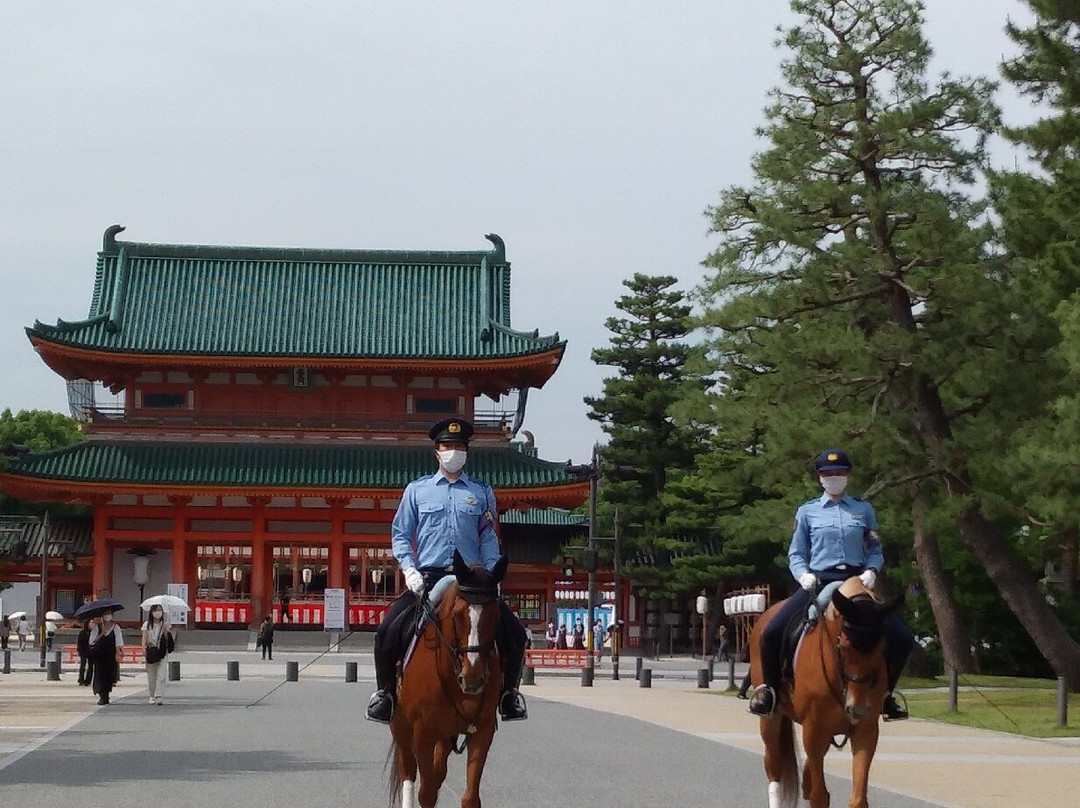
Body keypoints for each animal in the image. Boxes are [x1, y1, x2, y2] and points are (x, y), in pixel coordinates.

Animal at [388, 557, 505, 808]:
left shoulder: (482, 730)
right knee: (408, 772)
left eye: (495, 614)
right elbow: (427, 793)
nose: (473, 677)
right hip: (400, 726)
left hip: (445, 734)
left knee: (438, 771)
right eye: (458, 614)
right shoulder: (422, 733)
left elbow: (470, 797)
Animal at [751, 578, 902, 808]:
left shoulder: (866, 730)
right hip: (771, 720)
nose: (857, 708)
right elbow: (819, 796)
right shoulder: (814, 730)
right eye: (843, 647)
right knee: (773, 767)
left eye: (883, 646)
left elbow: (858, 798)